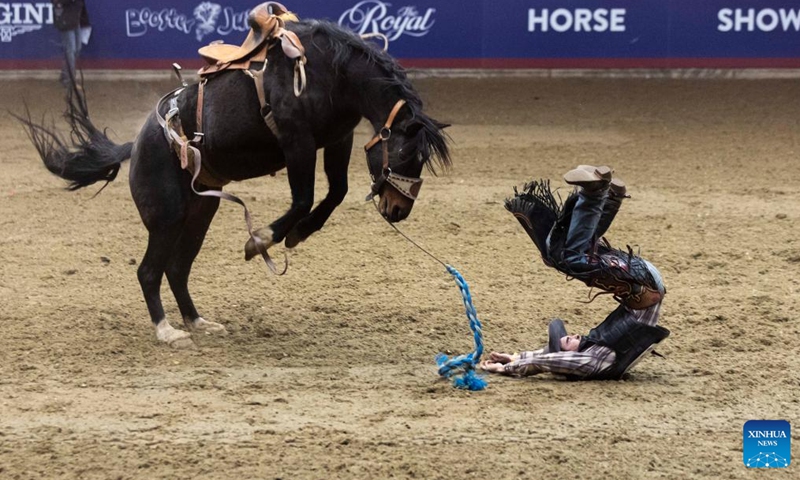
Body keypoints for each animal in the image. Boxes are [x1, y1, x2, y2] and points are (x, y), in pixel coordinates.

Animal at [18, 3, 454, 348]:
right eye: (406, 153)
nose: (398, 210)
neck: (330, 71)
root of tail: (137, 144)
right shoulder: (296, 140)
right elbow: (303, 197)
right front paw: (259, 240)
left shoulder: (337, 139)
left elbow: (336, 192)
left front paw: (297, 235)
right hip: (167, 215)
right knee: (149, 271)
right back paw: (169, 332)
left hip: (199, 213)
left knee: (177, 269)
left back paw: (199, 322)